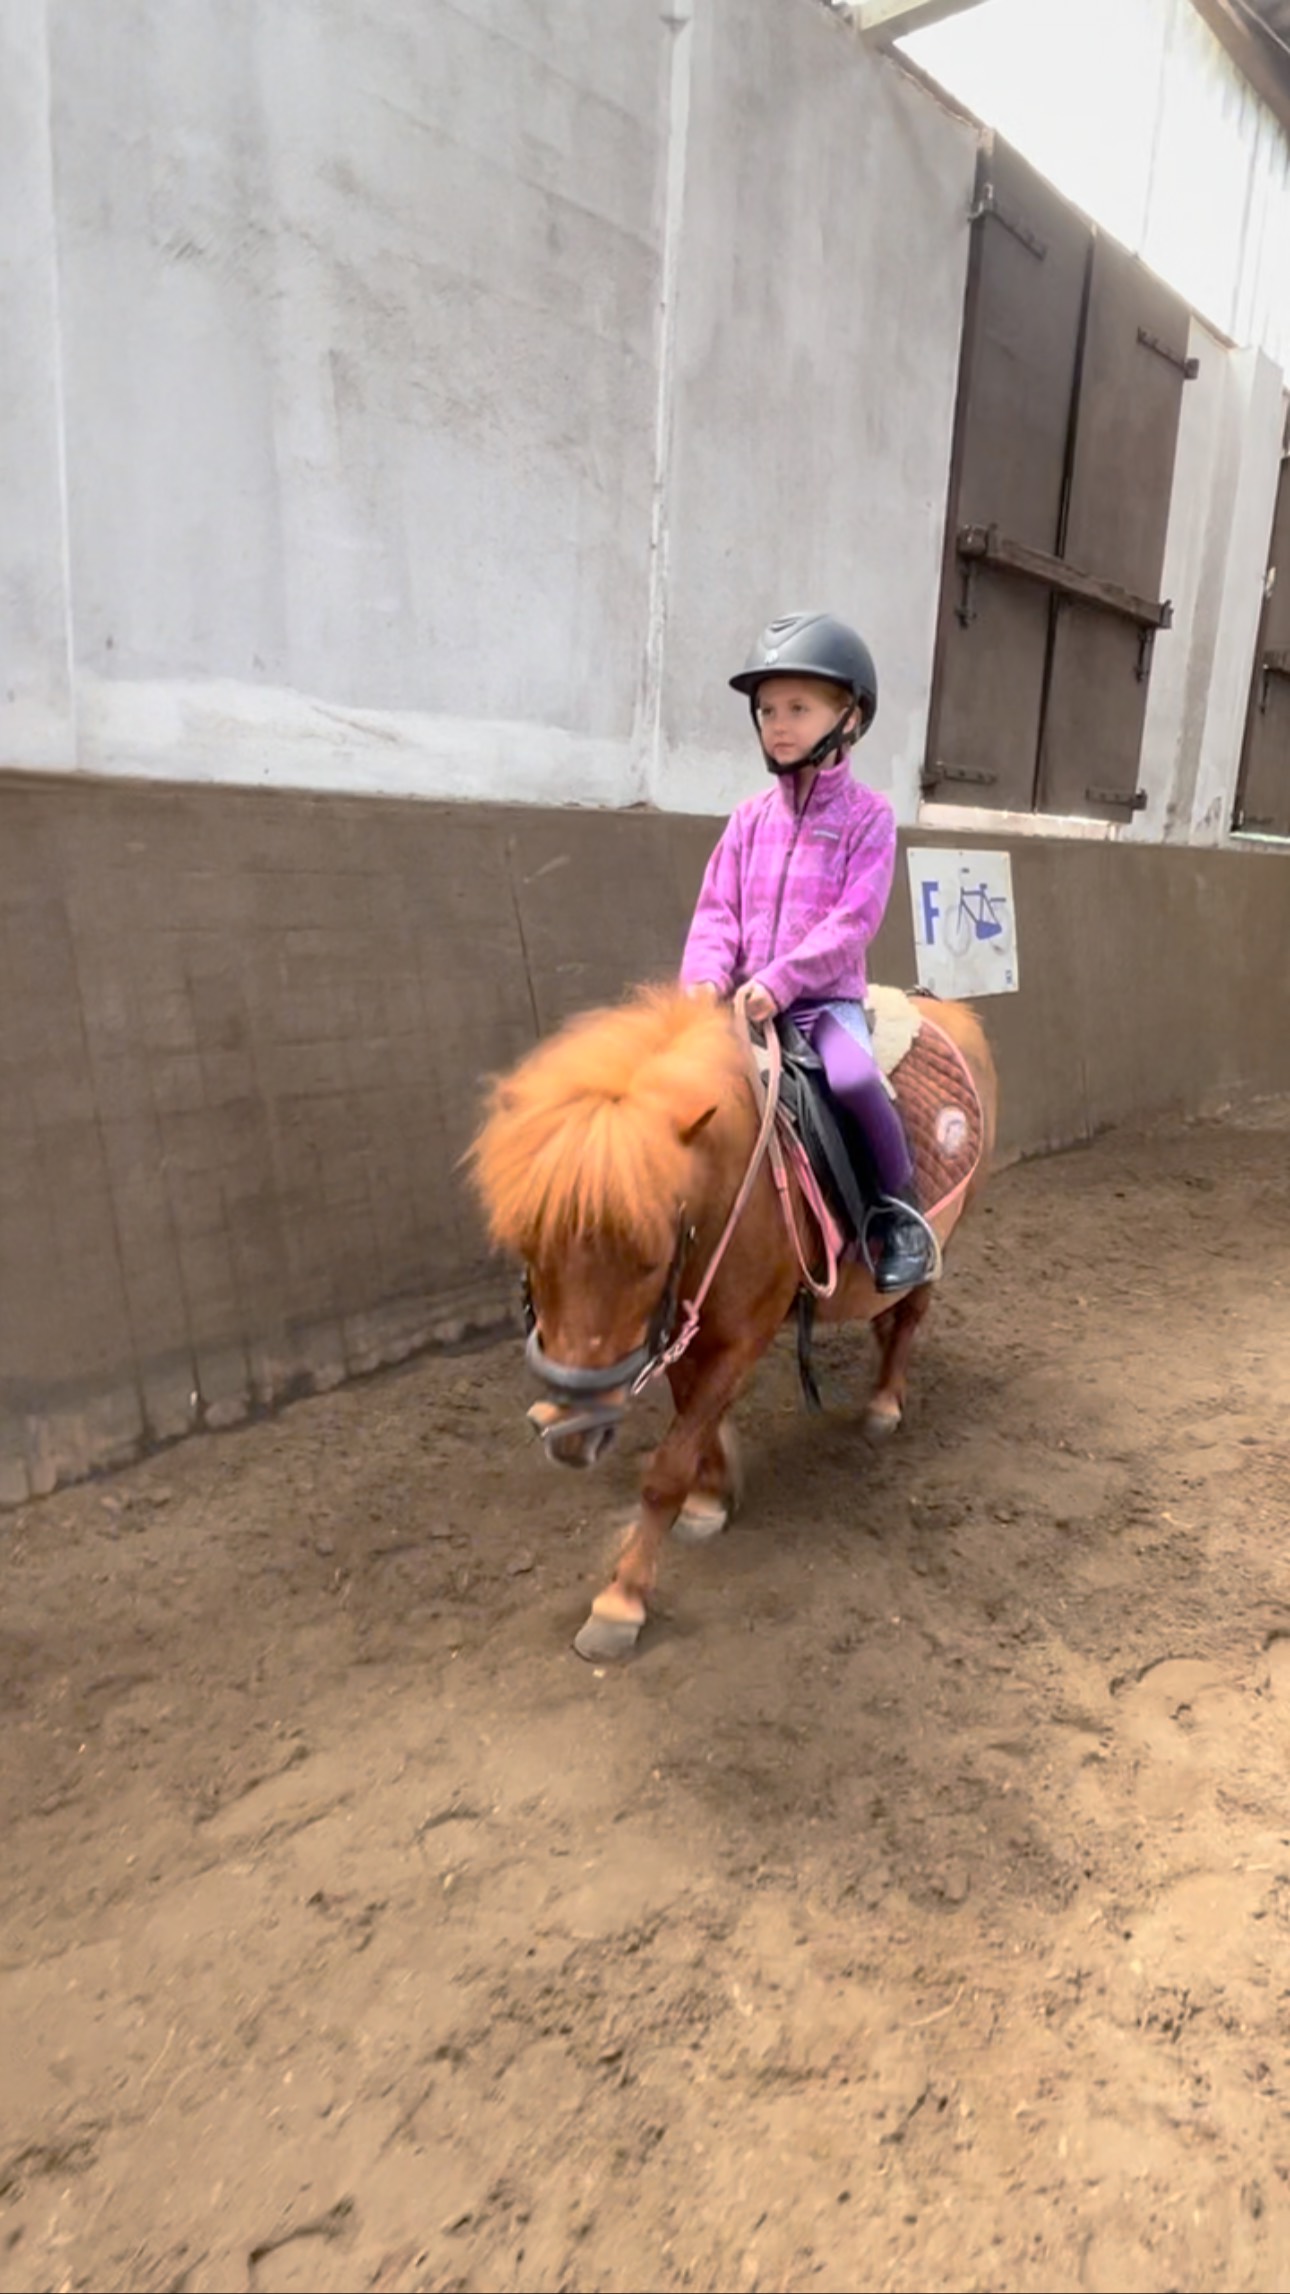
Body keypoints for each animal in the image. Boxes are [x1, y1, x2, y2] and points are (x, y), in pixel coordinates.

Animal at [468, 983, 997, 1661]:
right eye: (530, 1248)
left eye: (650, 1258)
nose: (570, 1433)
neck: (732, 1190)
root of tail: (952, 1008)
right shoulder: (680, 1330)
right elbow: (696, 1423)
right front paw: (711, 1497)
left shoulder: (743, 1336)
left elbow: (667, 1466)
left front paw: (622, 1600)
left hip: (941, 1237)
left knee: (908, 1319)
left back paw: (884, 1402)